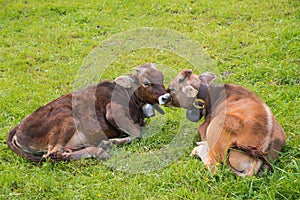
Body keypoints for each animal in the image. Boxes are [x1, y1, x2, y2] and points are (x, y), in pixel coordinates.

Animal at [7, 63, 168, 162]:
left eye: (162, 78)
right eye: (146, 83)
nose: (166, 97)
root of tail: (17, 129)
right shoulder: (112, 111)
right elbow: (137, 133)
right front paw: (114, 141)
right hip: (66, 120)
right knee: (53, 154)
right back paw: (101, 150)